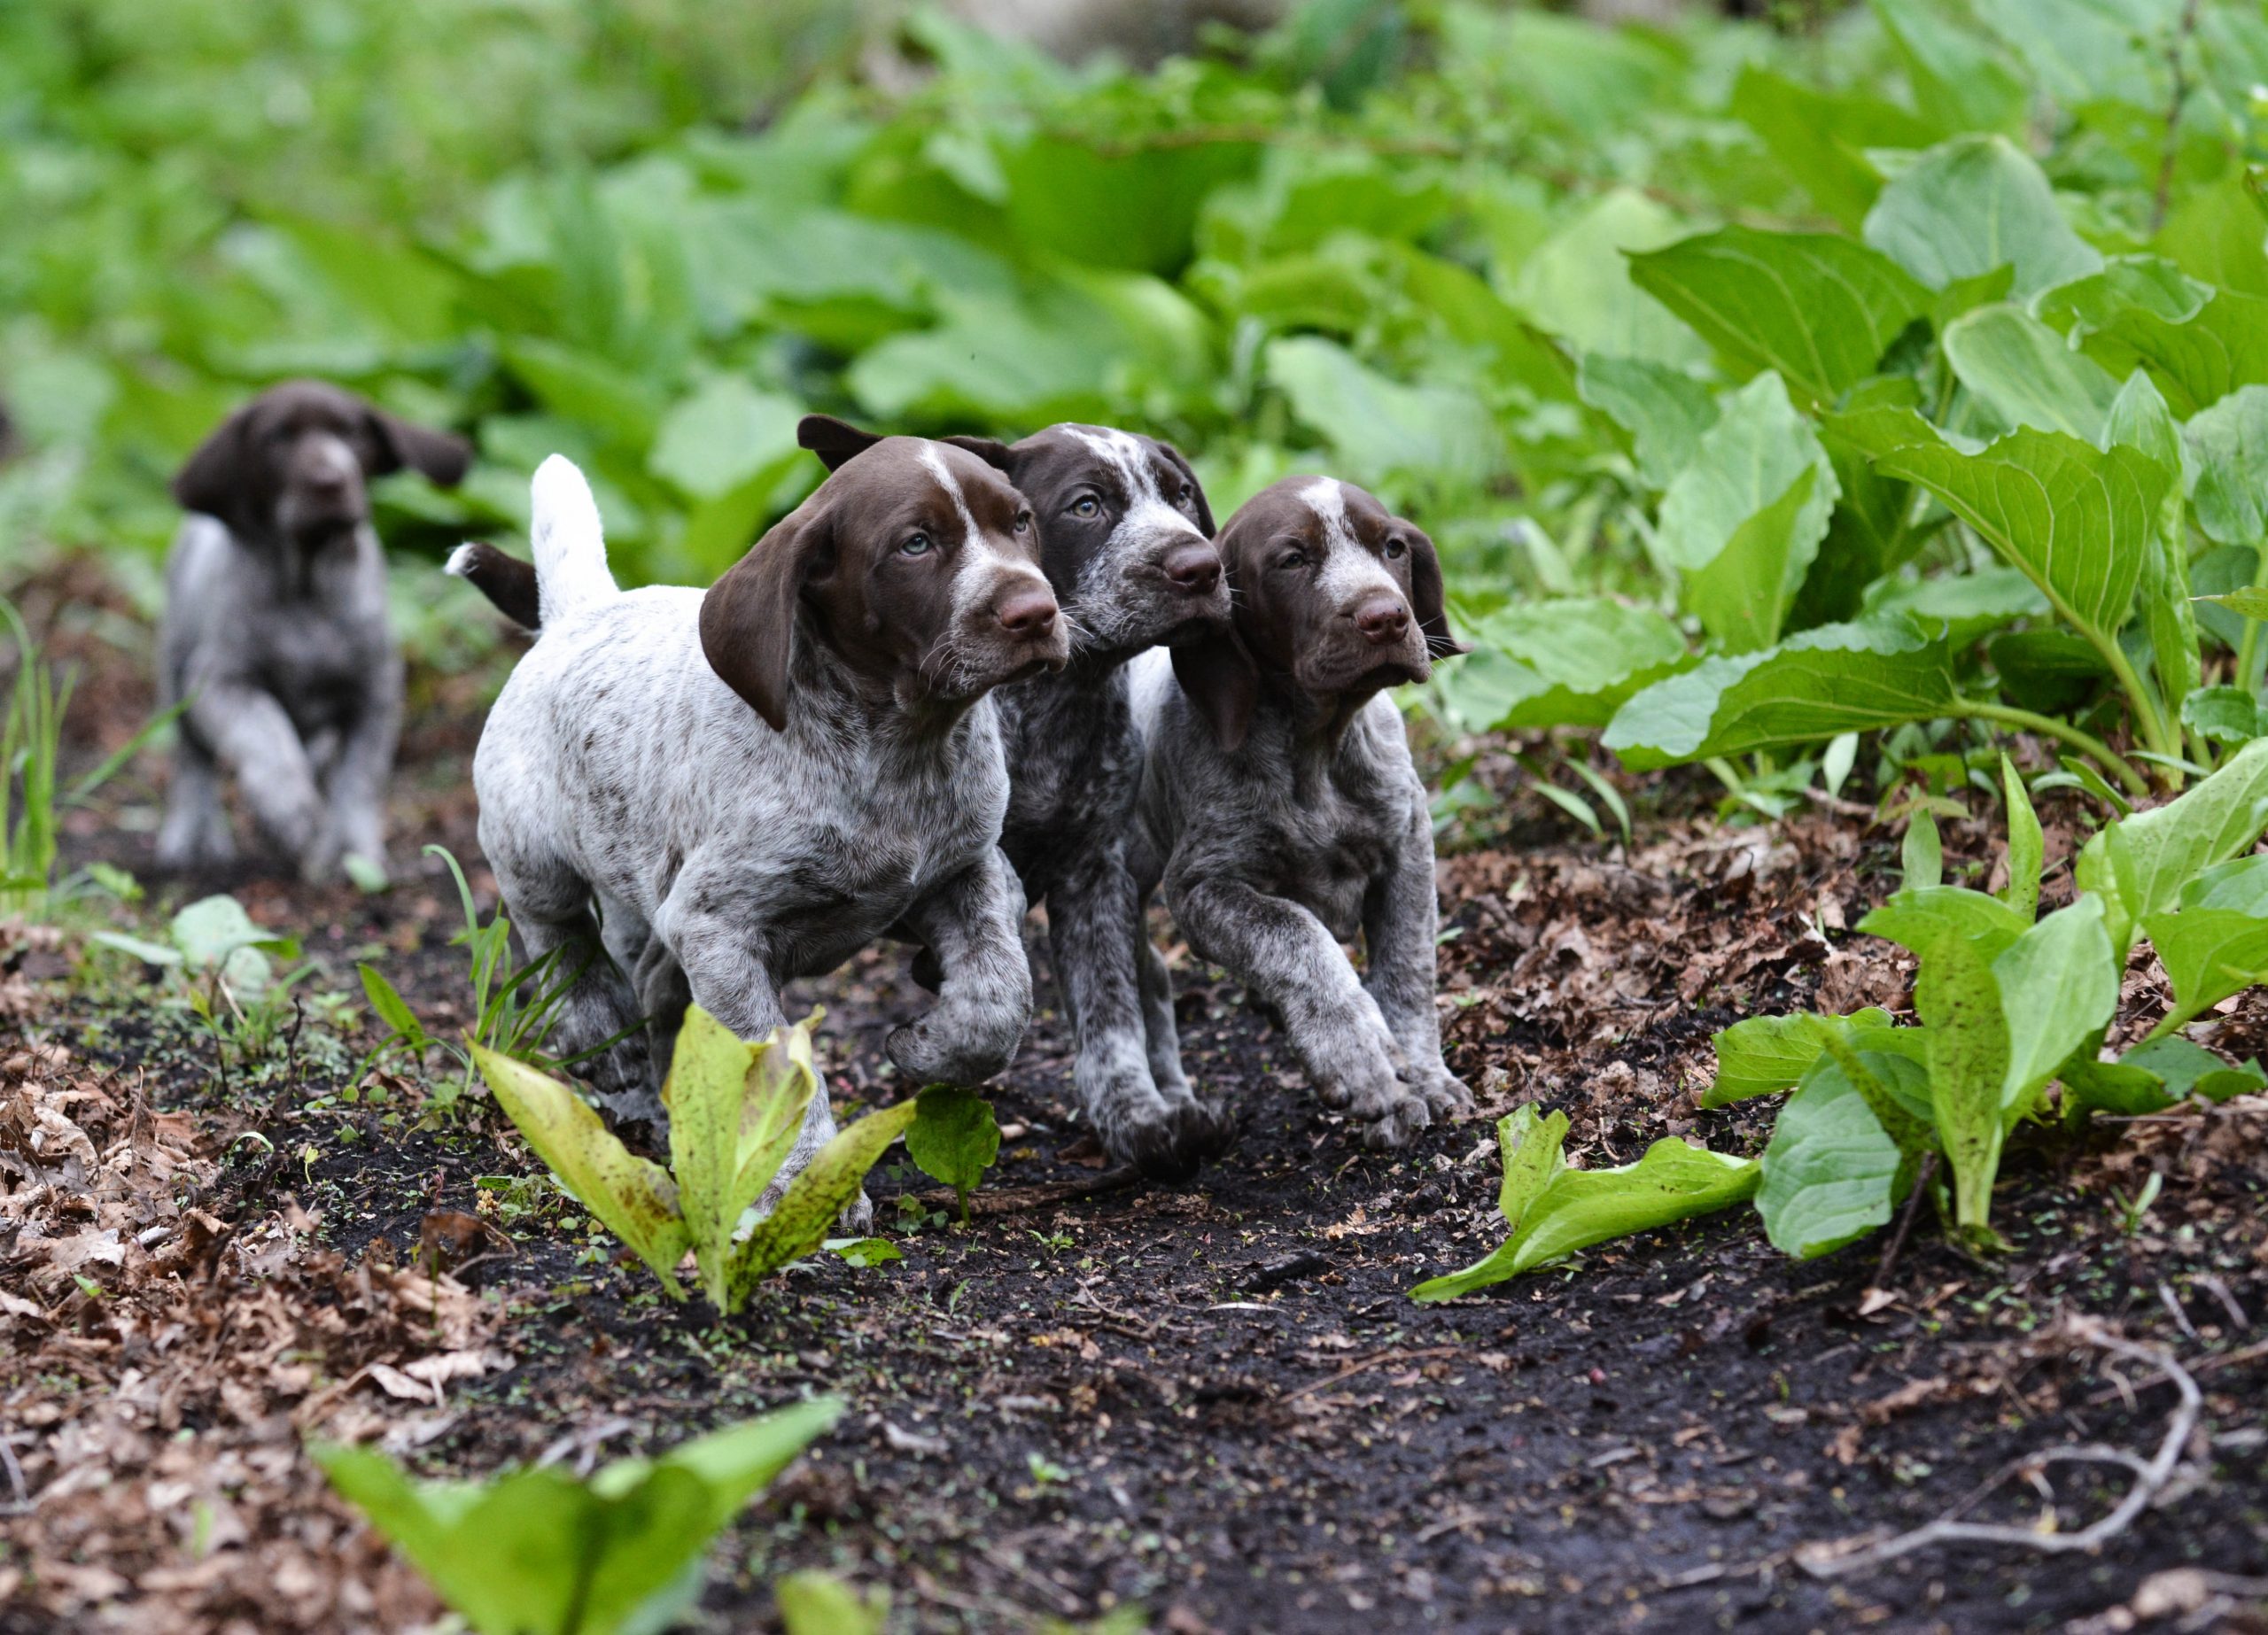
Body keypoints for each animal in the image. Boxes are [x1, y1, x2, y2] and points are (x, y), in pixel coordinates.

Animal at [156, 378, 469, 879]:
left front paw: (349, 852)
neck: (308, 587)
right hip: (173, 670)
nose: (330, 480)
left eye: (351, 435)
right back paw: (194, 837)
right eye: (277, 438)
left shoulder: (376, 694)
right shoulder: (219, 681)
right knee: (192, 761)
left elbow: (359, 779)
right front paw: (289, 809)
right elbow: (263, 731)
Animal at [464, 439, 1066, 1206]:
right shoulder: (719, 928)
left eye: (1020, 521)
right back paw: (602, 1026)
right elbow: (776, 1069)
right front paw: (800, 1182)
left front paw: (929, 1049)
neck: (900, 744)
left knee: (653, 978)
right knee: (556, 930)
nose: (1036, 612)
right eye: (915, 544)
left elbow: (999, 995)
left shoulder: (967, 868)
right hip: (529, 844)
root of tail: (579, 612)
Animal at [798, 410, 1242, 1170]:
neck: (1053, 702)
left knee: (1151, 978)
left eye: (1181, 495)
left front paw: (1134, 1110)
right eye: (1086, 506)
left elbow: (1110, 1004)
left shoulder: (1095, 870)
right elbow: (996, 902)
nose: (1200, 566)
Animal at [1129, 471, 1469, 1147]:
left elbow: (1408, 971)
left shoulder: (1408, 848)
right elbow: (1295, 935)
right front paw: (1359, 1056)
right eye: (1292, 561)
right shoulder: (1202, 887)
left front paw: (1423, 1076)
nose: (1386, 616)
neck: (1314, 745)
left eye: (1393, 548)